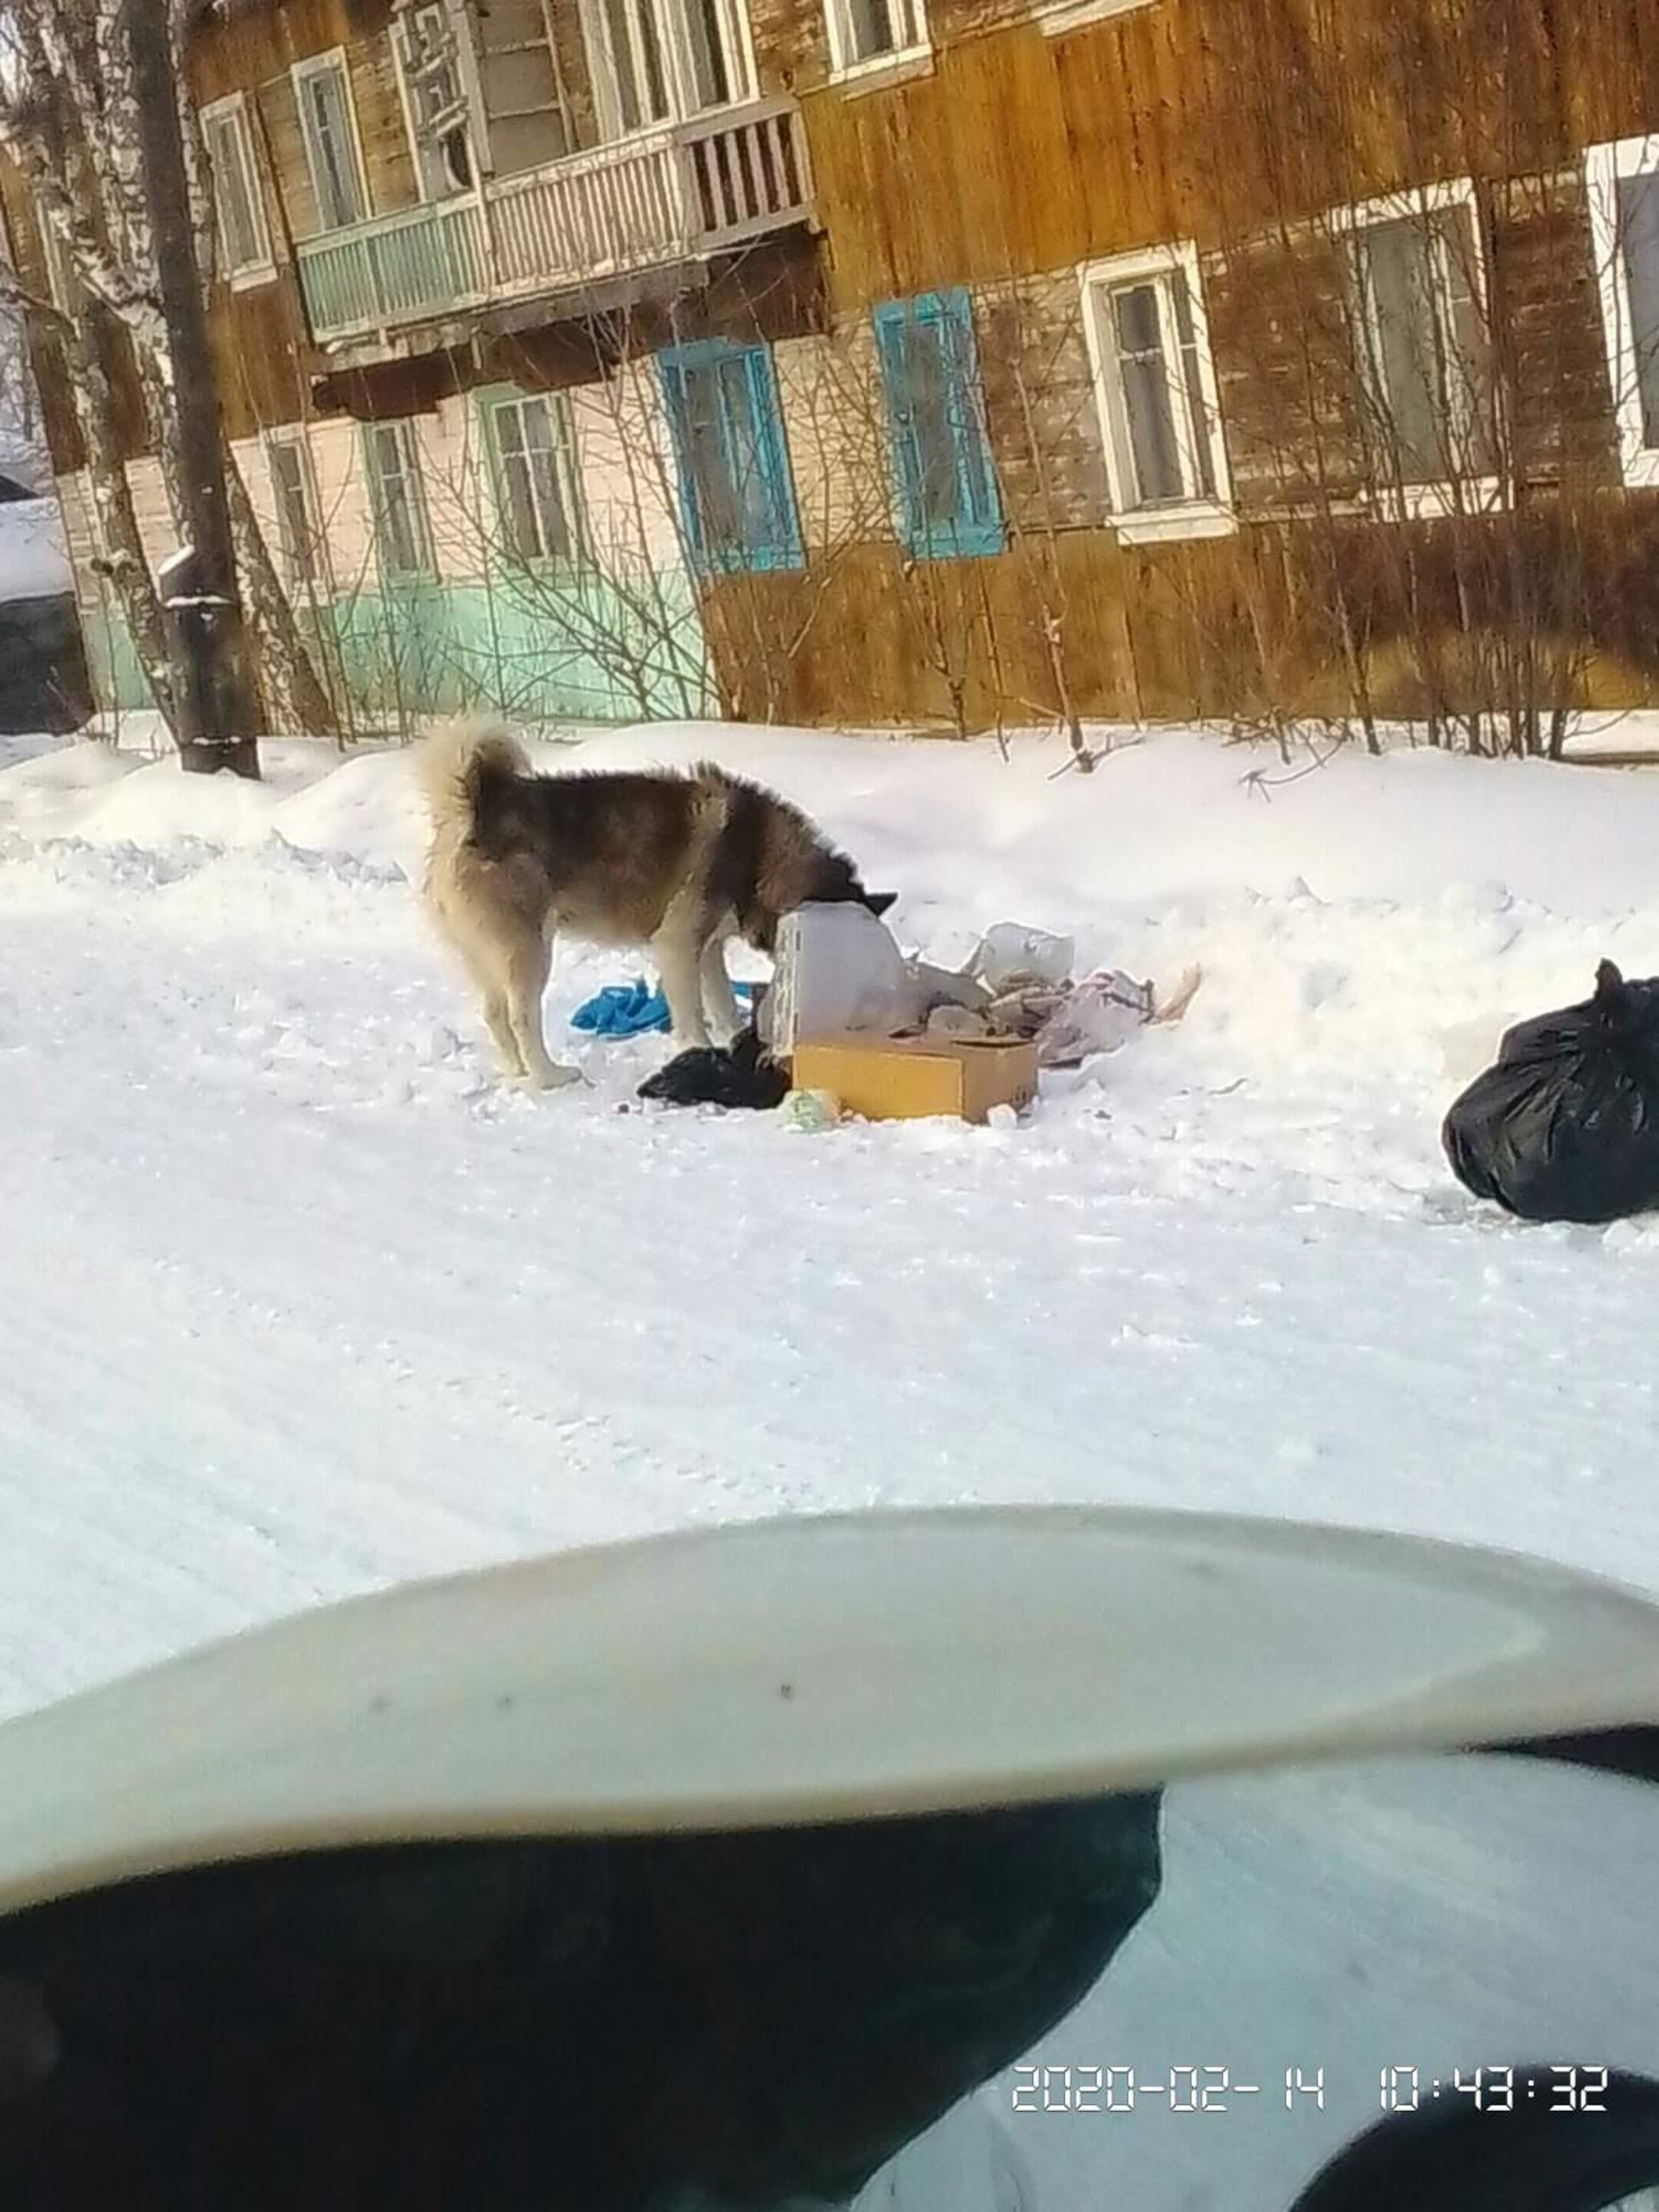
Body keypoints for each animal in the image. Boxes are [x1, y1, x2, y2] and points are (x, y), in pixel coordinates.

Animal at [416, 725, 898, 1088]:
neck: (757, 853)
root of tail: (472, 812)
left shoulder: (708, 948)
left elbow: (722, 1000)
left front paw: (735, 1036)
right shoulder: (679, 944)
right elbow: (693, 1012)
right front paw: (700, 1050)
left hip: (487, 954)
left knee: (495, 1014)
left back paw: (517, 1072)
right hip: (529, 949)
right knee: (520, 1017)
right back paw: (549, 1076)